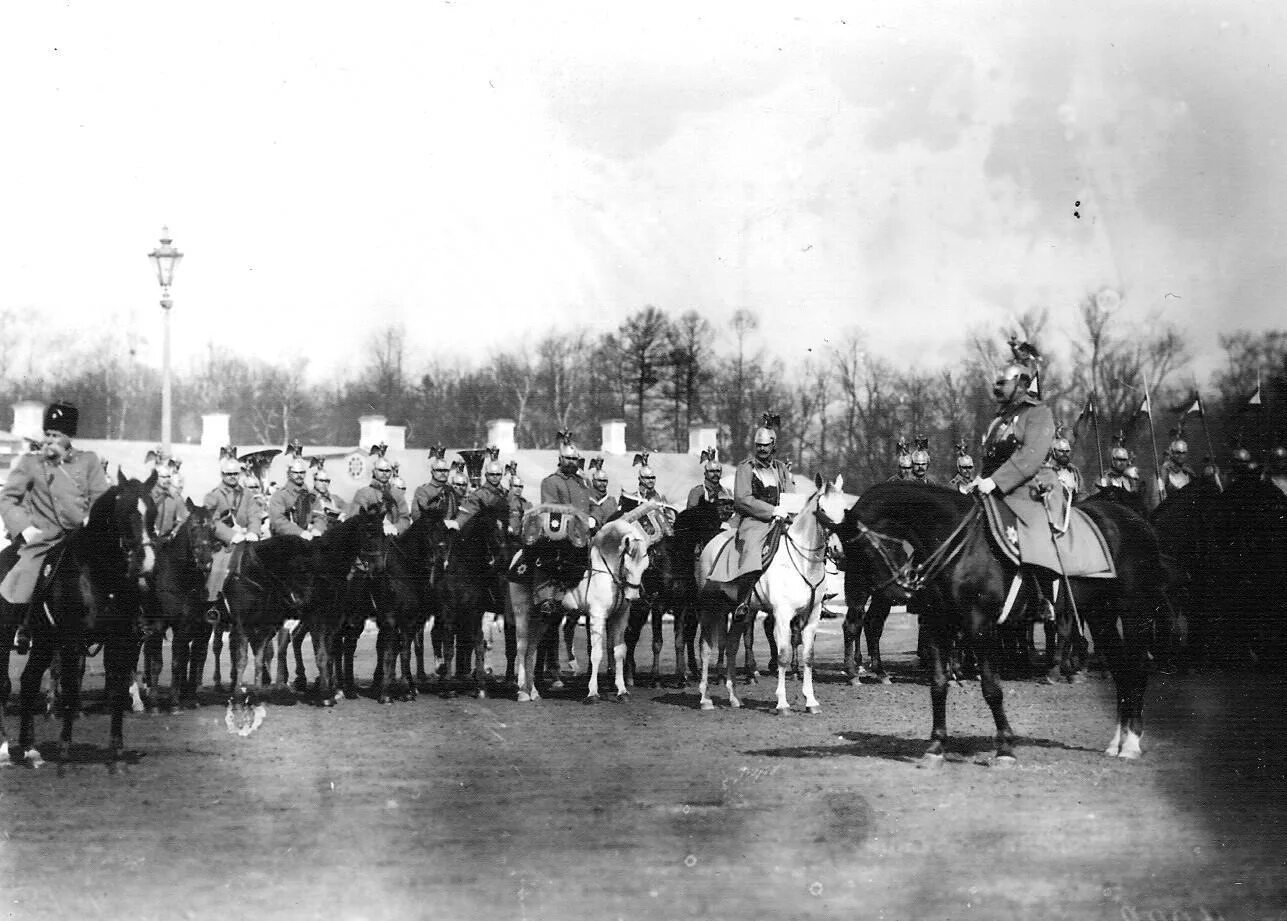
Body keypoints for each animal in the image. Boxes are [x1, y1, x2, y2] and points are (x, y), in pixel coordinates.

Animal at [2, 475, 157, 771]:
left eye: (153, 512)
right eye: (125, 513)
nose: (146, 562)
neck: (98, 574)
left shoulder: (119, 642)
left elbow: (117, 692)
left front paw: (116, 753)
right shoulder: (72, 643)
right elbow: (72, 690)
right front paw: (65, 750)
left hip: (43, 642)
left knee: (28, 682)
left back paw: (30, 750)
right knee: (5, 684)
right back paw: (5, 749)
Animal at [509, 506, 658, 699]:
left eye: (645, 566)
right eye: (627, 566)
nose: (632, 597)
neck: (606, 571)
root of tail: (518, 557)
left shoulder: (620, 617)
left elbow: (619, 651)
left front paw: (622, 690)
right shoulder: (597, 616)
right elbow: (596, 653)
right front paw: (593, 692)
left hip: (542, 618)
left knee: (531, 649)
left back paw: (533, 692)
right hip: (522, 612)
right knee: (522, 646)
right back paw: (522, 691)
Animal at [700, 475, 849, 710]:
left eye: (843, 509)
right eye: (822, 509)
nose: (837, 551)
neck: (802, 562)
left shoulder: (812, 615)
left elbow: (808, 656)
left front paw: (811, 701)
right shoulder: (783, 614)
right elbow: (783, 655)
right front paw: (782, 703)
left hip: (740, 612)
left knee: (732, 646)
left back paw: (734, 697)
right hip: (710, 608)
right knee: (705, 647)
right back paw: (705, 698)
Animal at [839, 481, 1173, 761]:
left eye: (863, 549)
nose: (892, 592)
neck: (959, 544)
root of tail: (1137, 522)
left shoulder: (979, 626)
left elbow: (991, 688)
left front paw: (1005, 746)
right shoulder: (937, 624)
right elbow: (938, 685)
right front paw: (936, 744)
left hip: (1134, 612)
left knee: (1137, 666)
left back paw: (1131, 743)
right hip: (1100, 615)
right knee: (1120, 669)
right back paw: (1117, 741)